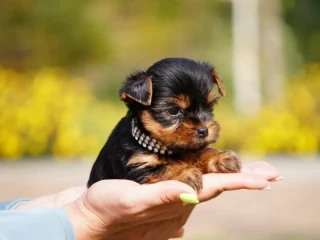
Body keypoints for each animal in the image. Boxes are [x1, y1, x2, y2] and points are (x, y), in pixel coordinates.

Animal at [87, 57, 240, 190]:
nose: (204, 130)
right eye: (173, 110)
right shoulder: (138, 167)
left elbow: (199, 153)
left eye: (210, 106)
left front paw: (221, 158)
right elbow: (166, 167)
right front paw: (185, 172)